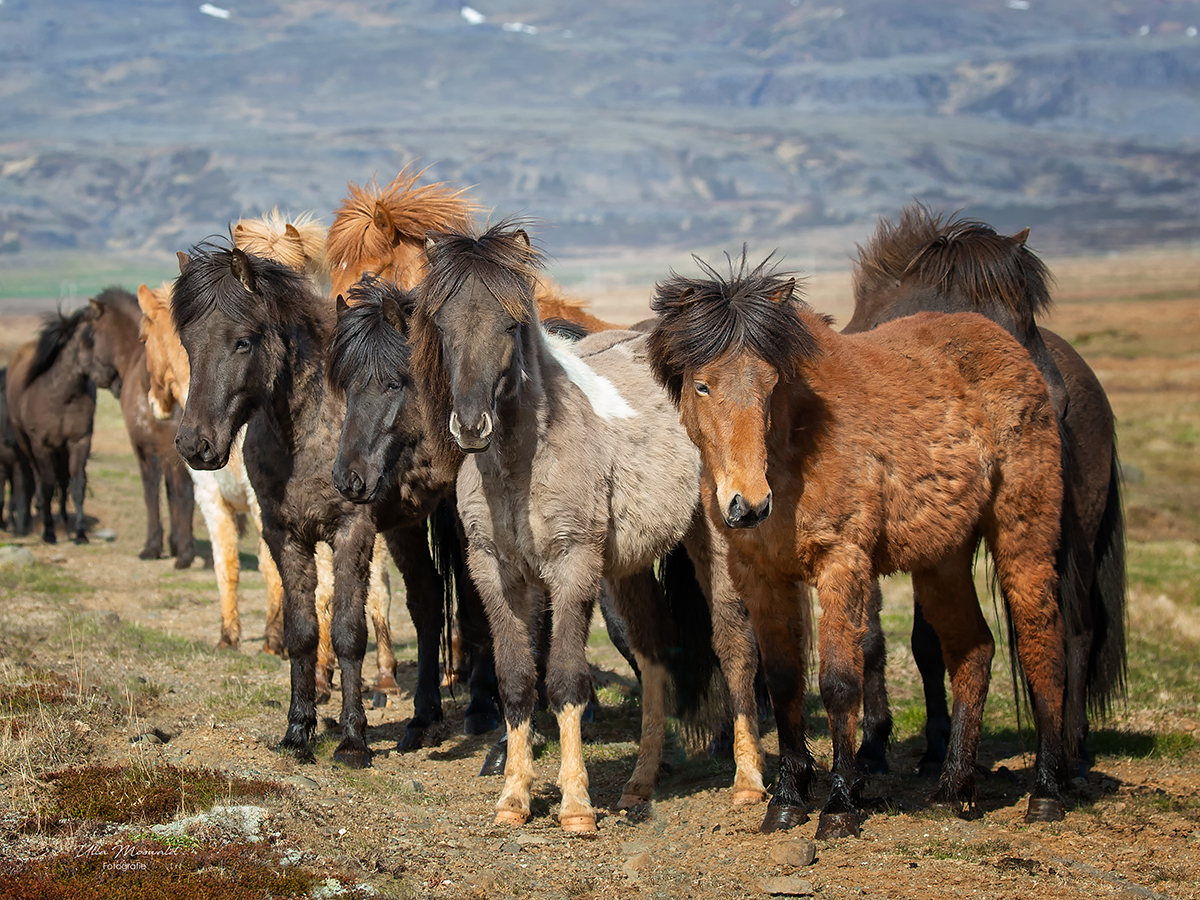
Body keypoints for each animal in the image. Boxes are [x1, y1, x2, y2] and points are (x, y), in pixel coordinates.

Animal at [4, 307, 96, 547]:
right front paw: (48, 533)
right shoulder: (41, 445)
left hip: (61, 450)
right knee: (39, 479)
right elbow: (45, 486)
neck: (61, 397)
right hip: (28, 445)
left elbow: (77, 485)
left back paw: (64, 522)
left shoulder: (79, 442)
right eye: (89, 337)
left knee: (63, 483)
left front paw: (80, 534)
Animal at [88, 289, 196, 566]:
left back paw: (185, 555)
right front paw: (173, 543)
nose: (94, 376)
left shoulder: (146, 452)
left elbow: (152, 494)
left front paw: (154, 546)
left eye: (93, 335)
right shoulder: (167, 456)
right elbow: (170, 495)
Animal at [652, 252, 1075, 840]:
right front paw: (785, 802)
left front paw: (839, 805)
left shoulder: (841, 564)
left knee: (1043, 645)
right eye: (702, 386)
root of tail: (1010, 347)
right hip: (942, 561)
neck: (796, 444)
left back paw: (1047, 792)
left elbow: (839, 683)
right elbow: (782, 681)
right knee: (973, 650)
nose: (748, 505)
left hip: (1022, 536)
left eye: (770, 383)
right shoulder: (761, 576)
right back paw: (953, 789)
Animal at [844, 204, 1123, 777]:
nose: (1050, 402)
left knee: (1077, 626)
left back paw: (1073, 747)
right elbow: (883, 640)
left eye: (1026, 318)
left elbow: (930, 640)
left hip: (1075, 532)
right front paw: (882, 747)